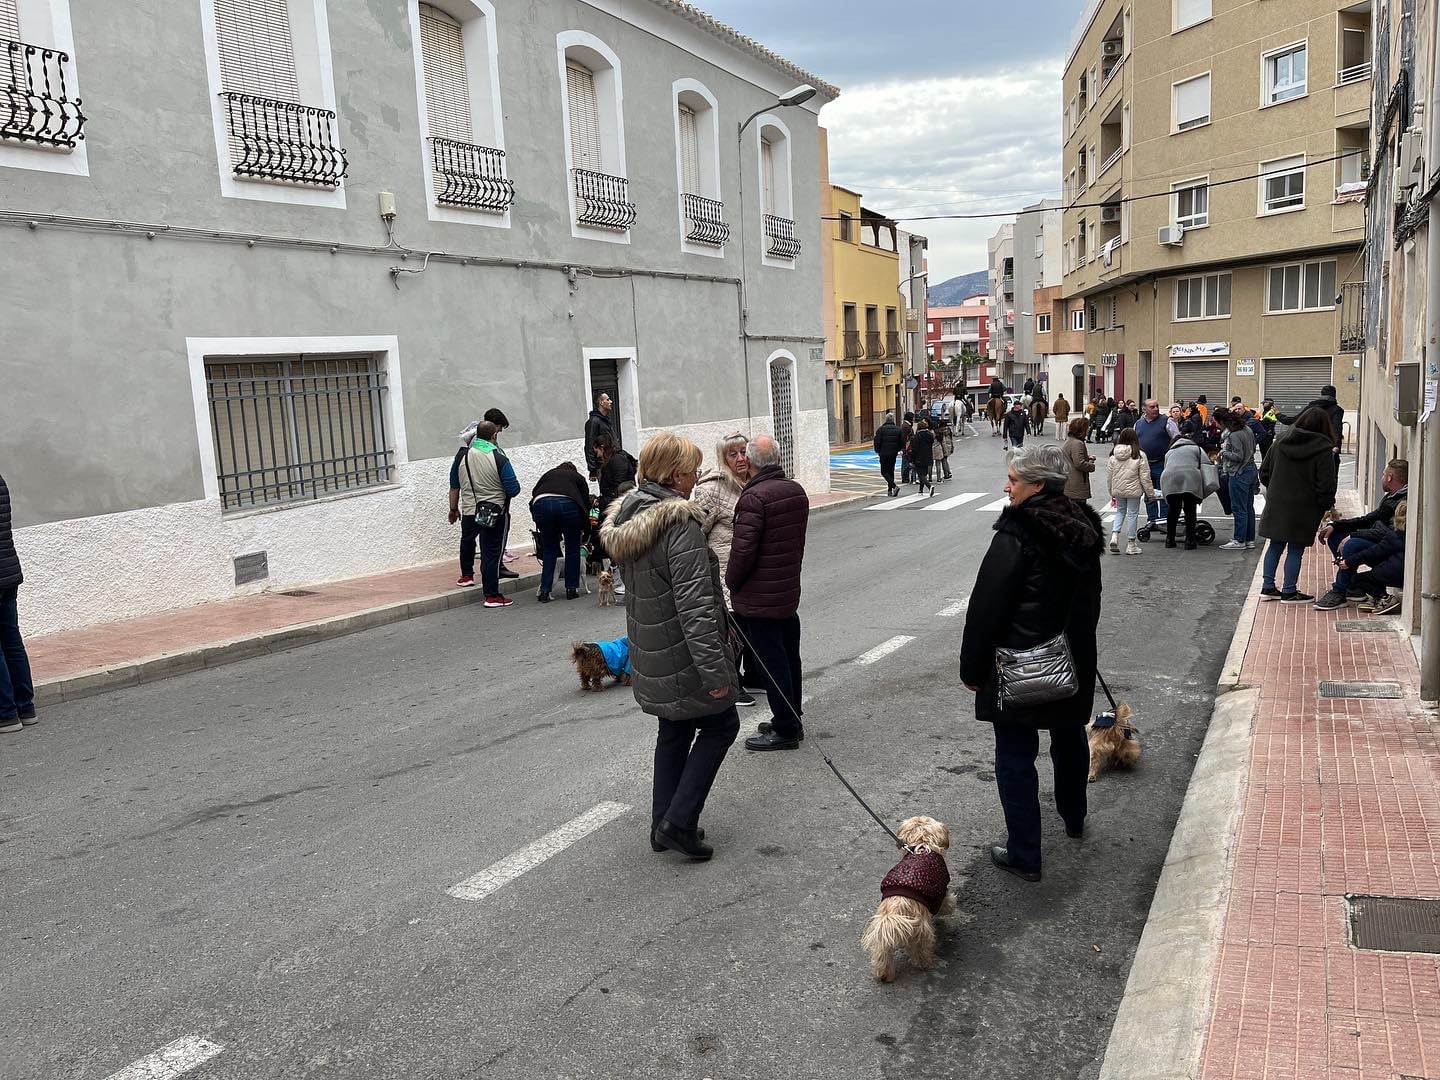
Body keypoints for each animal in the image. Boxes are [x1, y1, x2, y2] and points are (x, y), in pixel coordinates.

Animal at [852, 817, 956, 984]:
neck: (922, 843)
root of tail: (895, 911)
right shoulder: (940, 892)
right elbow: (947, 904)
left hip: (883, 933)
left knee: (883, 954)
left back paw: (884, 974)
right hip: (921, 930)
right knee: (921, 949)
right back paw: (925, 963)